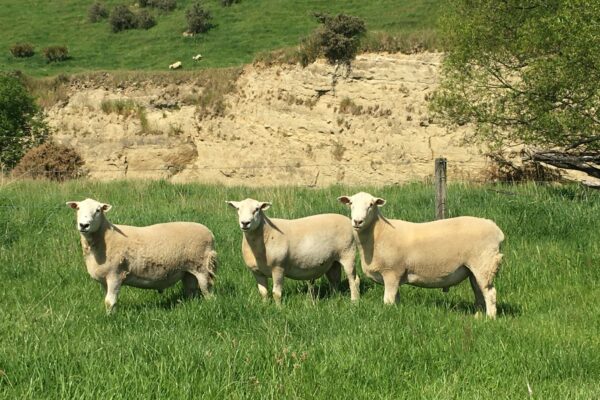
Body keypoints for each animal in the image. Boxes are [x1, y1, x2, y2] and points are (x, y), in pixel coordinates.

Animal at [67, 198, 217, 314]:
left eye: (98, 210)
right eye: (78, 208)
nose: (84, 225)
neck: (105, 237)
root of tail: (209, 233)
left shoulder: (116, 274)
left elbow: (110, 301)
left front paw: (111, 319)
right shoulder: (105, 278)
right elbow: (108, 300)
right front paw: (110, 315)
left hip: (201, 266)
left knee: (207, 289)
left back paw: (210, 306)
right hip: (188, 270)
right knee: (191, 288)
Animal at [226, 197, 358, 304]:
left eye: (257, 209)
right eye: (238, 208)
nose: (245, 223)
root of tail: (348, 220)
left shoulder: (278, 267)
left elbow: (276, 293)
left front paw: (278, 309)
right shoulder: (256, 272)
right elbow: (263, 292)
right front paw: (265, 306)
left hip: (348, 252)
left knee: (354, 280)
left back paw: (354, 301)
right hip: (333, 261)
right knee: (334, 280)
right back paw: (335, 298)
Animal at [340, 192, 504, 318]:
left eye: (371, 204)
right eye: (351, 203)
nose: (357, 221)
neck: (379, 233)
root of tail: (496, 230)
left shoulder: (392, 272)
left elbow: (388, 300)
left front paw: (387, 315)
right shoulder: (397, 274)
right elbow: (396, 298)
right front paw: (397, 312)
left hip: (484, 264)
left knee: (490, 293)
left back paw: (490, 318)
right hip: (474, 269)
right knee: (479, 292)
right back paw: (478, 316)